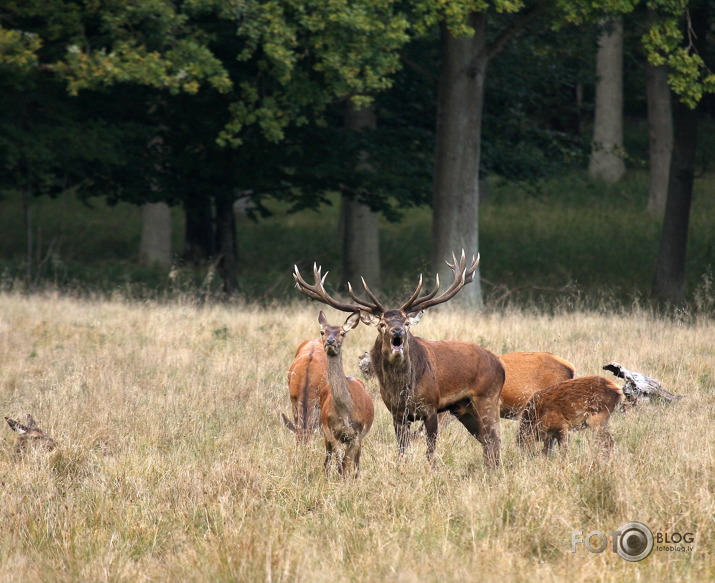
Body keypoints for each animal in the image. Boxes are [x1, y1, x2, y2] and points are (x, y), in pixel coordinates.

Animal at [318, 310, 374, 480]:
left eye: (342, 333)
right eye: (323, 332)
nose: (330, 341)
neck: (344, 413)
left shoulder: (356, 434)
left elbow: (347, 462)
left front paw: (347, 481)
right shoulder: (332, 432)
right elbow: (339, 463)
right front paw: (340, 480)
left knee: (356, 462)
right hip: (325, 433)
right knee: (327, 459)